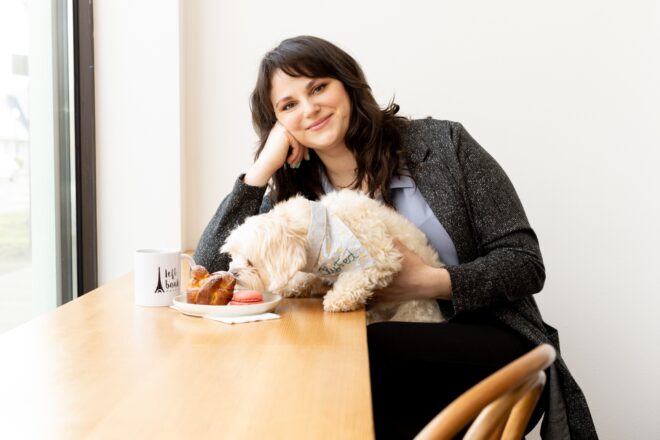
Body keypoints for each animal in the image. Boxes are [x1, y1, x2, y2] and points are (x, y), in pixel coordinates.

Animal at [220, 189, 444, 324]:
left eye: (251, 261)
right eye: (233, 255)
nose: (232, 273)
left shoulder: (380, 255)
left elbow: (357, 277)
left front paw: (337, 299)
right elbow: (308, 275)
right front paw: (295, 285)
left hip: (414, 311)